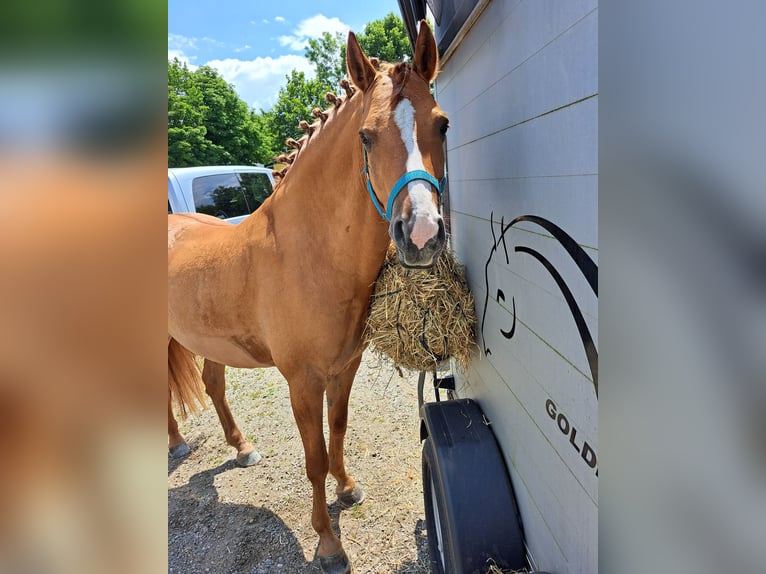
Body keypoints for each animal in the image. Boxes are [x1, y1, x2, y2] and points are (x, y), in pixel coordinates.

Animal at [166, 21, 444, 572]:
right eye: (365, 136)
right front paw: (328, 543)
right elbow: (313, 458)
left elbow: (337, 430)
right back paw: (177, 444)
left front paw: (348, 487)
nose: (421, 235)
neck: (308, 255)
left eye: (442, 125)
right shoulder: (302, 381)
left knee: (213, 385)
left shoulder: (345, 367)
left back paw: (242, 448)